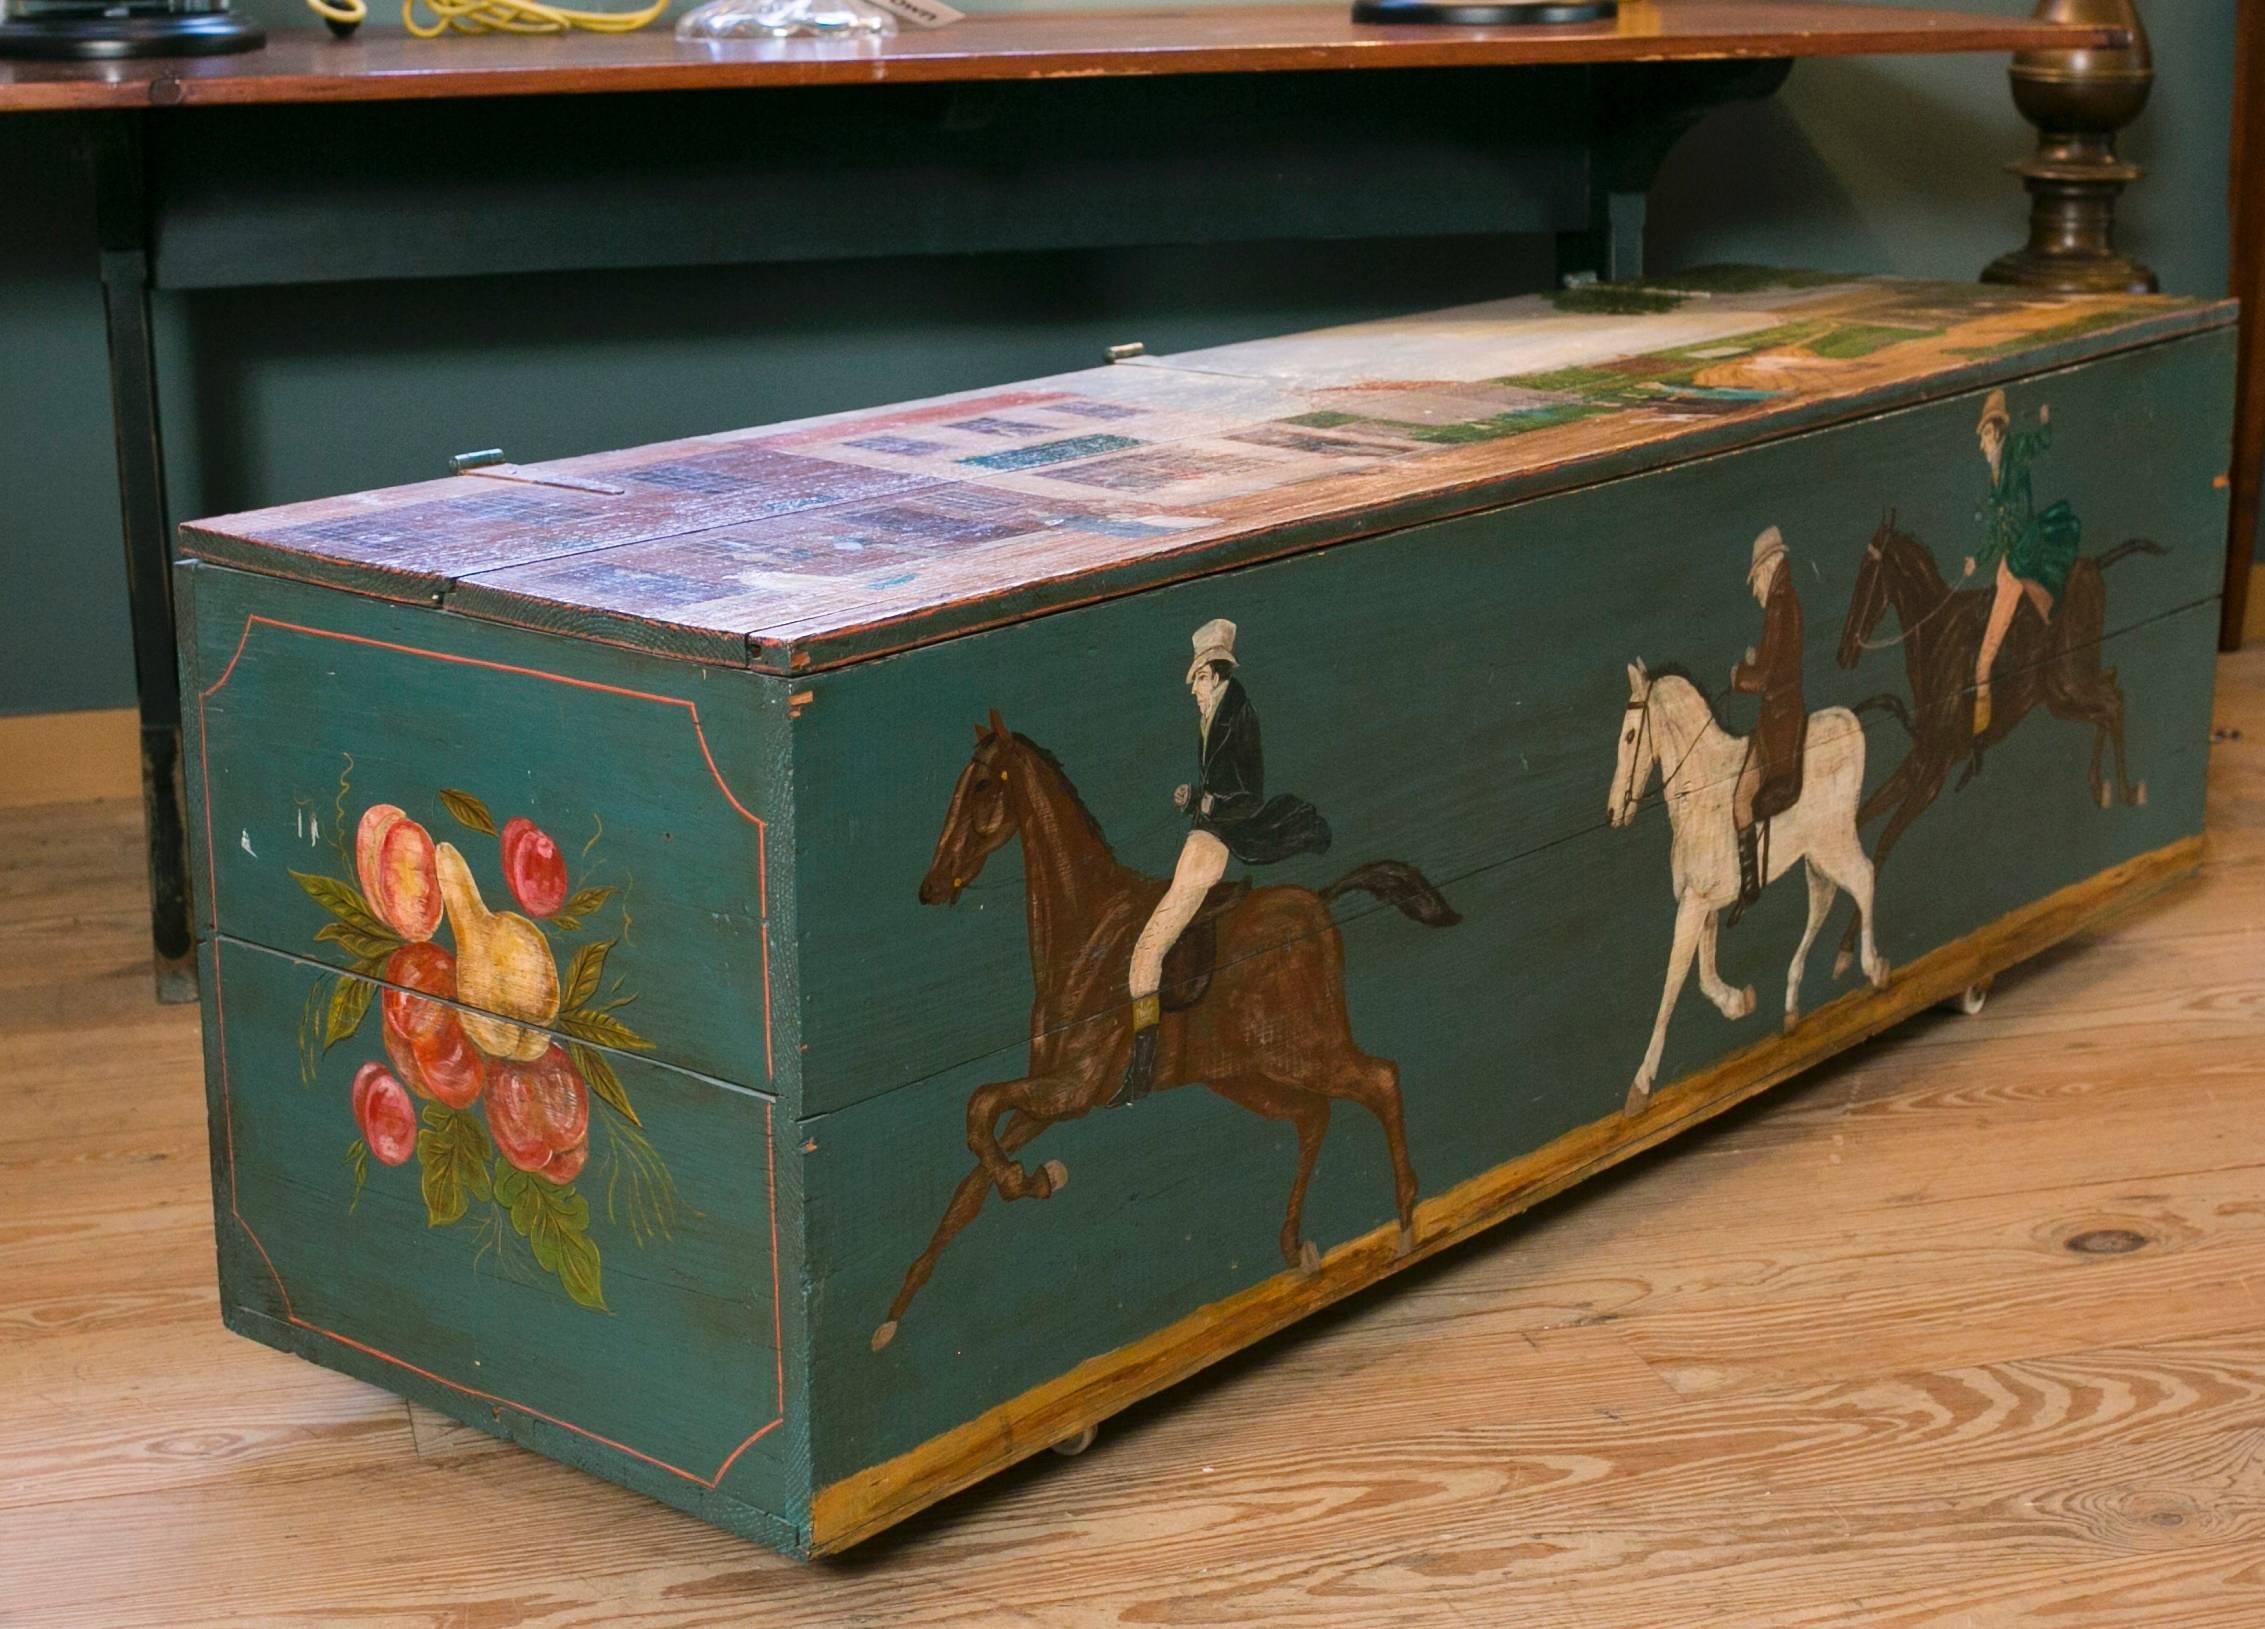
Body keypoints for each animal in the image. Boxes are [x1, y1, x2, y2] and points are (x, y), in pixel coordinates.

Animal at [874, 715, 1458, 1350]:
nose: (931, 887)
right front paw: (891, 1317)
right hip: (1244, 1075)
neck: (1086, 931)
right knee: (1312, 1116)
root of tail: (1319, 905)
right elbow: (968, 1186)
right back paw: (1296, 1248)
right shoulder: (1049, 1101)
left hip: (1304, 1050)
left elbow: (979, 1108)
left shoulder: (1073, 1089)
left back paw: (1405, 1223)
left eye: (982, 785)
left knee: (1380, 1080)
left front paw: (1037, 1179)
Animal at [1612, 657, 1893, 1114]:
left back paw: (1873, 968)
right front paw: (1738, 1002)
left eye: (1631, 735)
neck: (1699, 790)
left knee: (1864, 878)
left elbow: (1674, 980)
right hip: (1815, 857)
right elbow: (1703, 973)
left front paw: (1640, 1086)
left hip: (1831, 844)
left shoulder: (1693, 904)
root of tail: (1847, 719)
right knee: (1824, 900)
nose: (1614, 810)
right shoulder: (1703, 902)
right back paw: (1792, 1007)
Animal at [1821, 518, 2156, 969]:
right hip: (2061, 692)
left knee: (2113, 702)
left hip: (2067, 682)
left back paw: (2125, 790)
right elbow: (1858, 823)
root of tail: (2091, 565)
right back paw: (2100, 787)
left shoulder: (1934, 772)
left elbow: (1883, 845)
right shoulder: (1920, 758)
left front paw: (1849, 953)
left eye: (1868, 574)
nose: (1844, 652)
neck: (1935, 638)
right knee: (2110, 693)